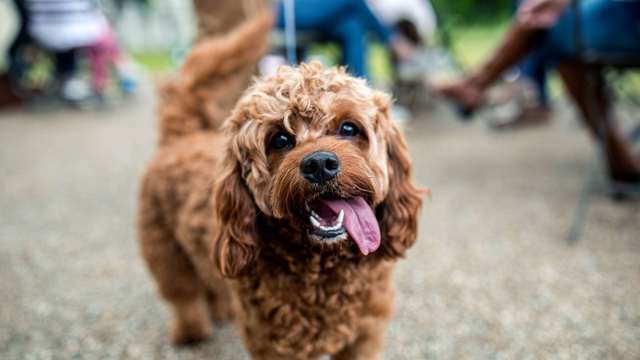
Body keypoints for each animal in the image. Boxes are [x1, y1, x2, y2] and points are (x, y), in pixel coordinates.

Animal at [138, 12, 422, 358]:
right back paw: (191, 331)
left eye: (349, 128)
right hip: (163, 249)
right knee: (182, 295)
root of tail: (181, 136)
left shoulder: (364, 335)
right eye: (281, 139)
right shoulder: (274, 344)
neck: (322, 269)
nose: (319, 164)